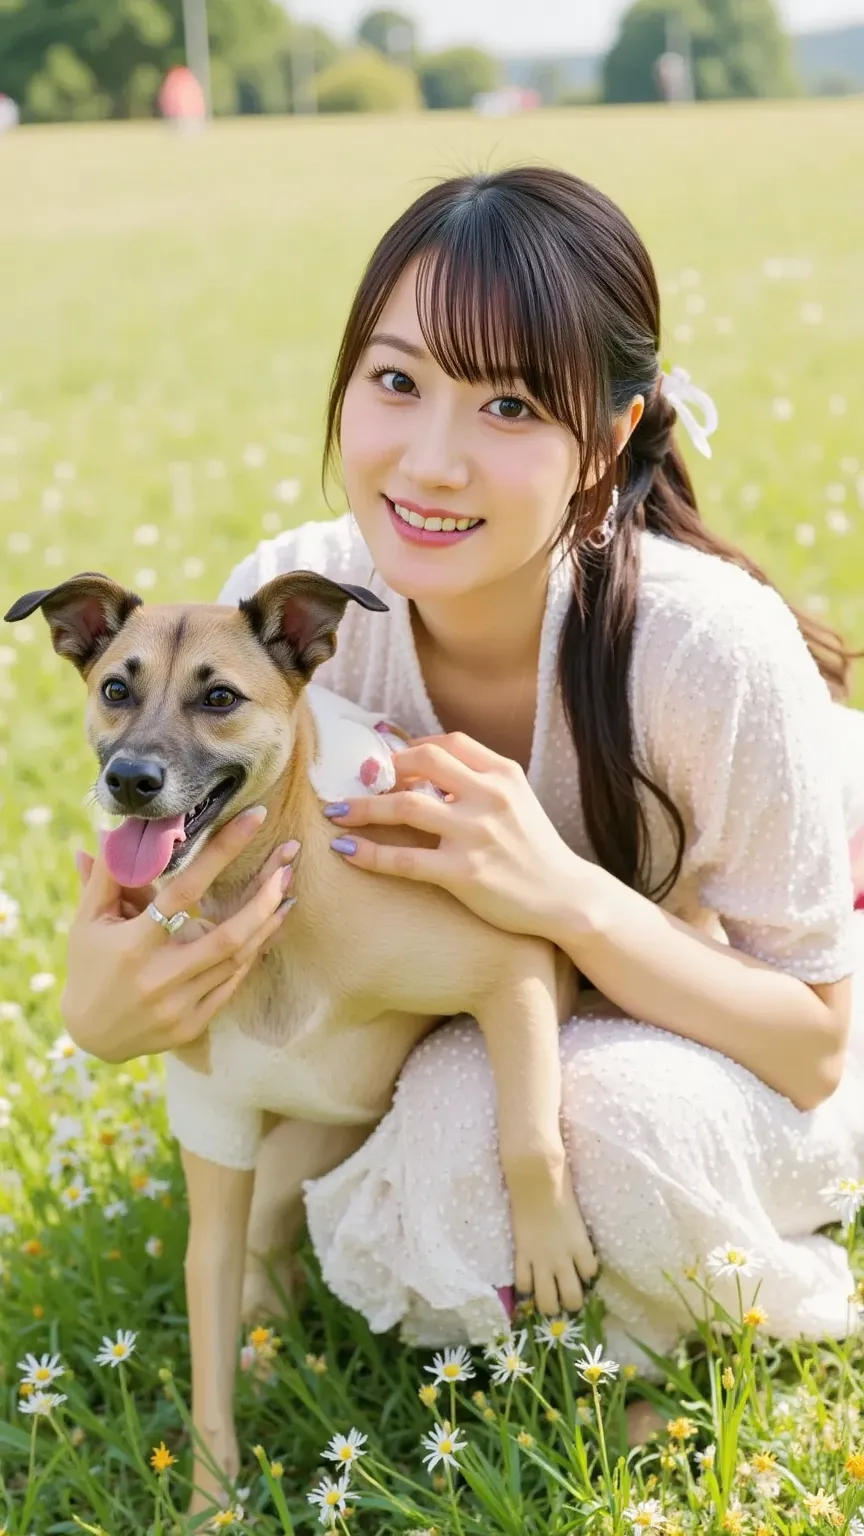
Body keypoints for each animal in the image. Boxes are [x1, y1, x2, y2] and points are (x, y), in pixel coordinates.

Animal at [6, 568, 596, 1511]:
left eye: (219, 697)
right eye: (115, 690)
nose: (130, 779)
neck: (270, 899)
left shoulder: (518, 964)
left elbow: (529, 1138)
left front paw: (548, 1243)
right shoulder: (213, 1128)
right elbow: (208, 1323)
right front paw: (212, 1505)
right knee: (262, 1255)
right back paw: (270, 1356)